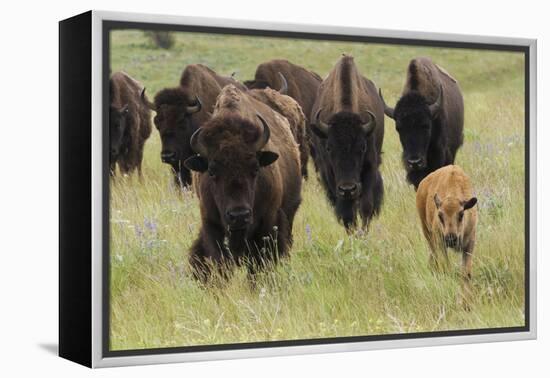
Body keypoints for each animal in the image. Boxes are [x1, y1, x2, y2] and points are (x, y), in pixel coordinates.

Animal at [310, 53, 384, 230]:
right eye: (329, 148)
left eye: (362, 147)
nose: (348, 189)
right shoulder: (329, 172)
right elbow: (346, 212)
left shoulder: (370, 165)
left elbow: (366, 205)